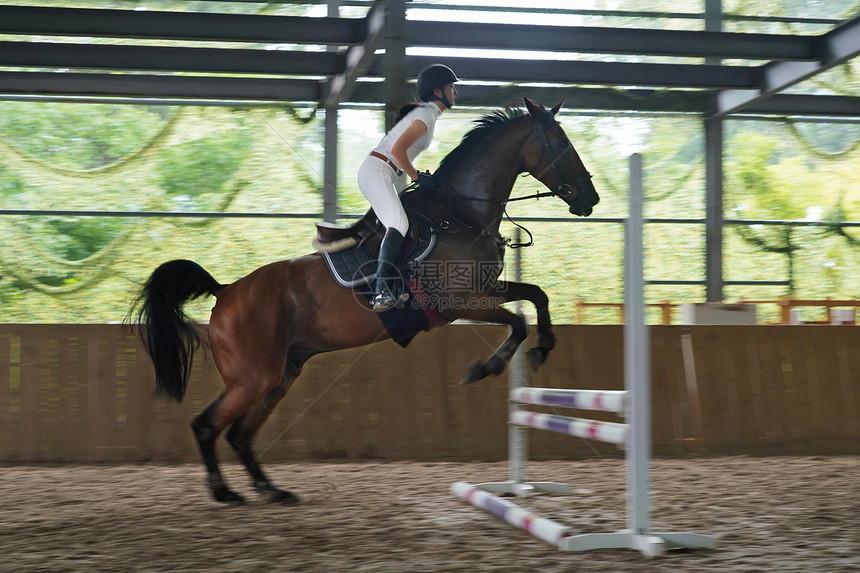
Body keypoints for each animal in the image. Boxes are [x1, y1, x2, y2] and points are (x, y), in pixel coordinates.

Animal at [129, 98, 596, 504]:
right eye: (561, 144)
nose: (590, 200)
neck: (460, 214)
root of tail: (225, 291)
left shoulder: (486, 289)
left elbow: (537, 297)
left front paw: (543, 349)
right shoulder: (460, 302)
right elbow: (518, 323)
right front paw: (486, 368)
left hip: (280, 375)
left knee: (240, 433)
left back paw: (270, 490)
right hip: (252, 377)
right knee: (207, 425)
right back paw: (225, 492)